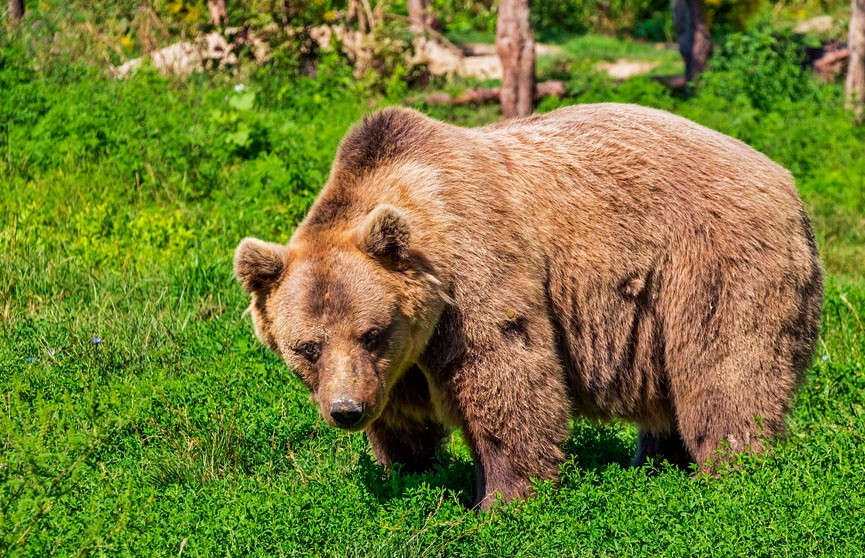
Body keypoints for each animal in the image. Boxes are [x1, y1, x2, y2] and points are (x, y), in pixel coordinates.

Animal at [233, 104, 820, 512]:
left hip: (713, 263)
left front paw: (501, 500)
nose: (346, 410)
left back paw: (731, 472)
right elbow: (403, 417)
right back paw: (655, 462)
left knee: (726, 370)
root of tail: (787, 181)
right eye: (306, 347)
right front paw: (410, 472)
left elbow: (506, 375)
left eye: (371, 332)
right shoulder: (400, 360)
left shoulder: (476, 273)